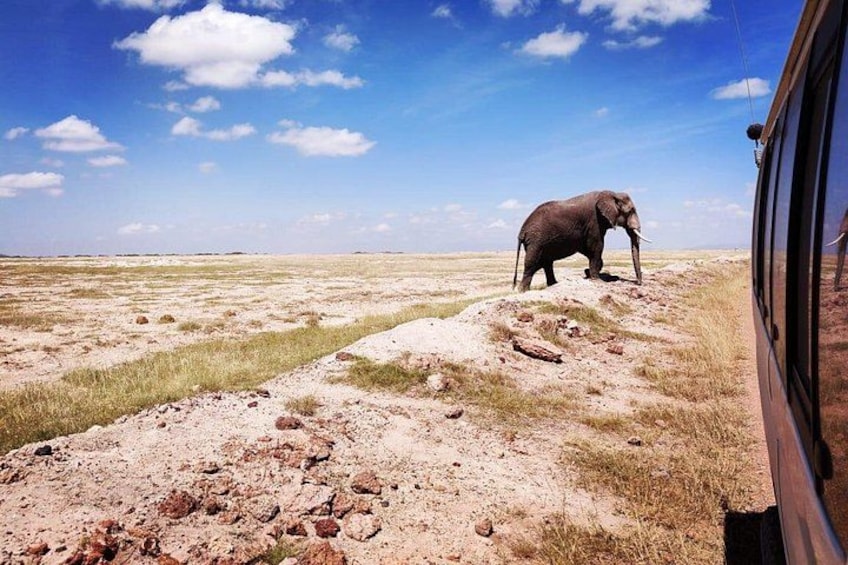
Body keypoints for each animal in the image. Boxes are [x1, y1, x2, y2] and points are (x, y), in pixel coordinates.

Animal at [512, 190, 651, 292]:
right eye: (631, 211)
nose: (638, 283)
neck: (612, 194)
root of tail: (521, 232)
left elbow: (588, 249)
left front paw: (587, 273)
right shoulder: (595, 221)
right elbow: (597, 246)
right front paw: (596, 279)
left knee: (545, 263)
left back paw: (553, 284)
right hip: (536, 241)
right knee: (532, 263)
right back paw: (523, 290)